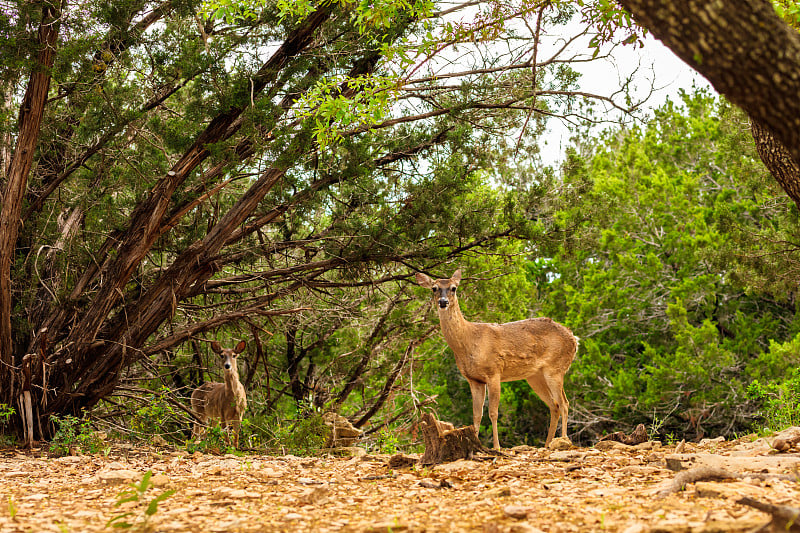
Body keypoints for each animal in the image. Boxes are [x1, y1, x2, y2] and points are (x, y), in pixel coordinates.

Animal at [416, 268, 580, 446]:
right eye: (434, 288)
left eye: (453, 288)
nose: (443, 302)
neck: (469, 340)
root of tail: (574, 339)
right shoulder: (474, 380)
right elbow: (477, 415)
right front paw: (477, 442)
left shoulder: (494, 372)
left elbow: (493, 413)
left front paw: (496, 446)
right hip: (535, 376)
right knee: (554, 405)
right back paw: (548, 444)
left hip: (555, 367)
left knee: (564, 403)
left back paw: (563, 440)